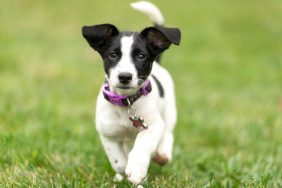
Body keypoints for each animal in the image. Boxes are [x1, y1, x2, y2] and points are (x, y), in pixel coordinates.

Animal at [81, 0, 181, 185]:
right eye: (113, 54)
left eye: (141, 56)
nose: (125, 77)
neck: (126, 103)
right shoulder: (108, 134)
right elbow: (118, 161)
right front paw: (125, 171)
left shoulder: (152, 126)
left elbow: (142, 146)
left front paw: (136, 170)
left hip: (170, 112)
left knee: (168, 133)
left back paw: (162, 154)